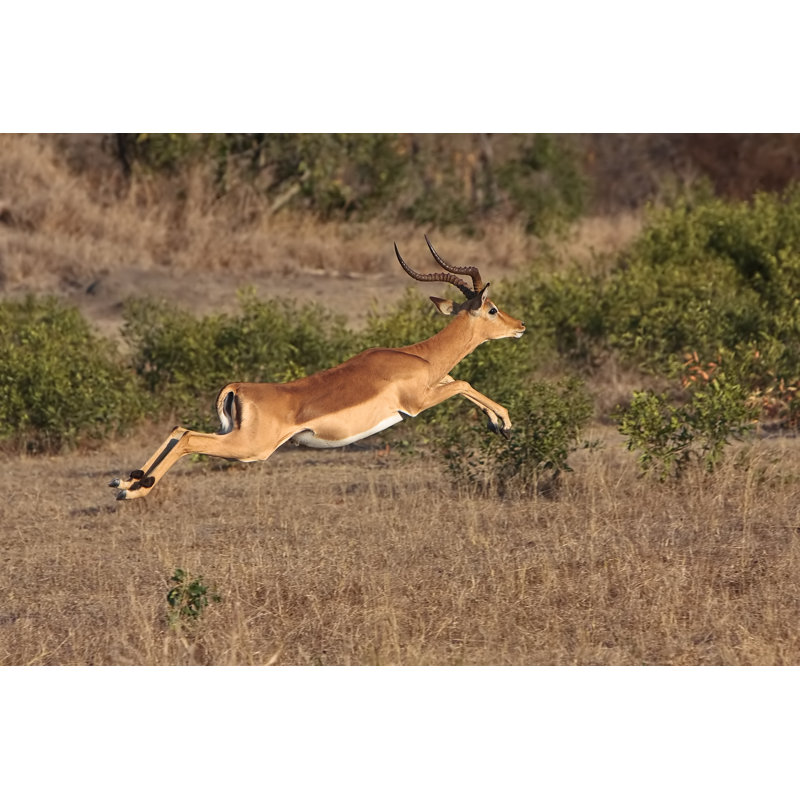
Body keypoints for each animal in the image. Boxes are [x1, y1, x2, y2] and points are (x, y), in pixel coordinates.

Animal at [110, 237, 525, 500]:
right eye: (492, 308)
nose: (520, 325)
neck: (420, 356)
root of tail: (238, 388)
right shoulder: (417, 402)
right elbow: (464, 382)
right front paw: (504, 424)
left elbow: (461, 382)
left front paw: (498, 425)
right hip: (250, 448)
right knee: (189, 439)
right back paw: (136, 491)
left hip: (231, 434)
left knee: (179, 429)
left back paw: (126, 482)